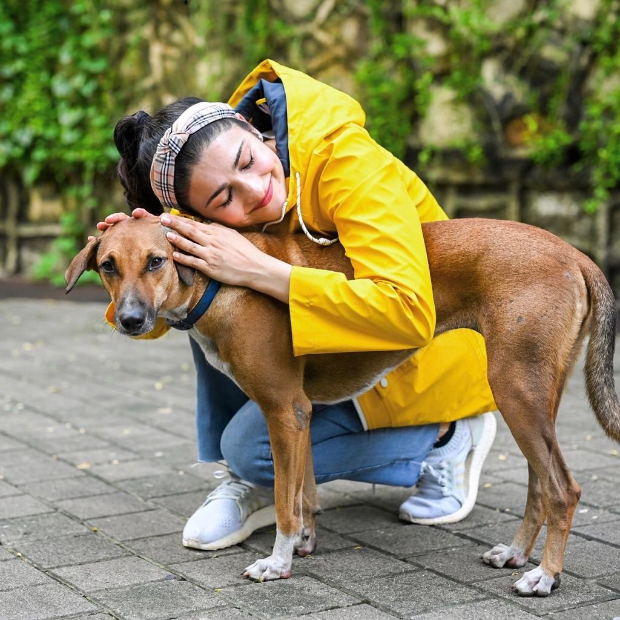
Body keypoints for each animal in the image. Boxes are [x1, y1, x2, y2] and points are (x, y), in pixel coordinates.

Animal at [65, 217, 616, 596]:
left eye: (156, 261)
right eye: (108, 266)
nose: (131, 320)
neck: (217, 283)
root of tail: (574, 253)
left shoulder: (283, 411)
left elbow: (284, 503)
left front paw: (278, 563)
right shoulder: (300, 415)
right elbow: (303, 493)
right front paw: (304, 543)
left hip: (515, 391)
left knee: (563, 489)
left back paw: (545, 575)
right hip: (534, 396)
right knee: (540, 487)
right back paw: (517, 554)